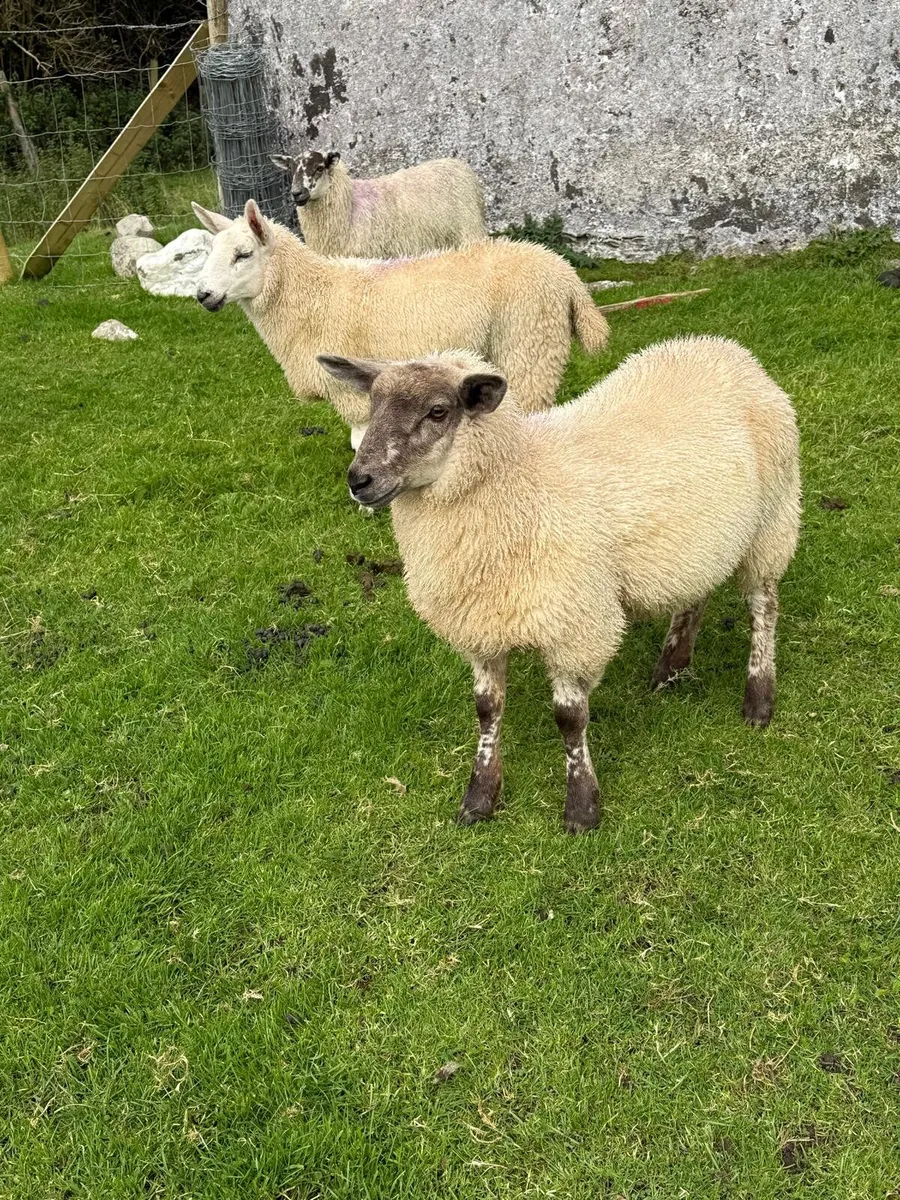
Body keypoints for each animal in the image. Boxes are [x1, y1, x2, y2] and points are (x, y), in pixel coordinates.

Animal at [191, 199, 610, 449]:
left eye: (243, 254)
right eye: (209, 252)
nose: (202, 295)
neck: (311, 297)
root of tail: (565, 273)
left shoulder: (351, 392)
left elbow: (361, 440)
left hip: (530, 343)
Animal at [270, 150, 487, 257]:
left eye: (320, 168)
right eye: (290, 170)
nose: (297, 193)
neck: (349, 206)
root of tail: (460, 165)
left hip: (469, 231)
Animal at [318, 337, 801, 833]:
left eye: (438, 411)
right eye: (373, 403)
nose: (359, 480)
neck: (519, 485)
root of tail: (724, 349)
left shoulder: (576, 624)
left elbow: (569, 719)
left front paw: (582, 807)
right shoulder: (482, 624)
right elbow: (487, 709)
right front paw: (480, 796)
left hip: (774, 517)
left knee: (764, 607)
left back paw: (758, 698)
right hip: (701, 541)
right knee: (695, 593)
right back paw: (672, 667)